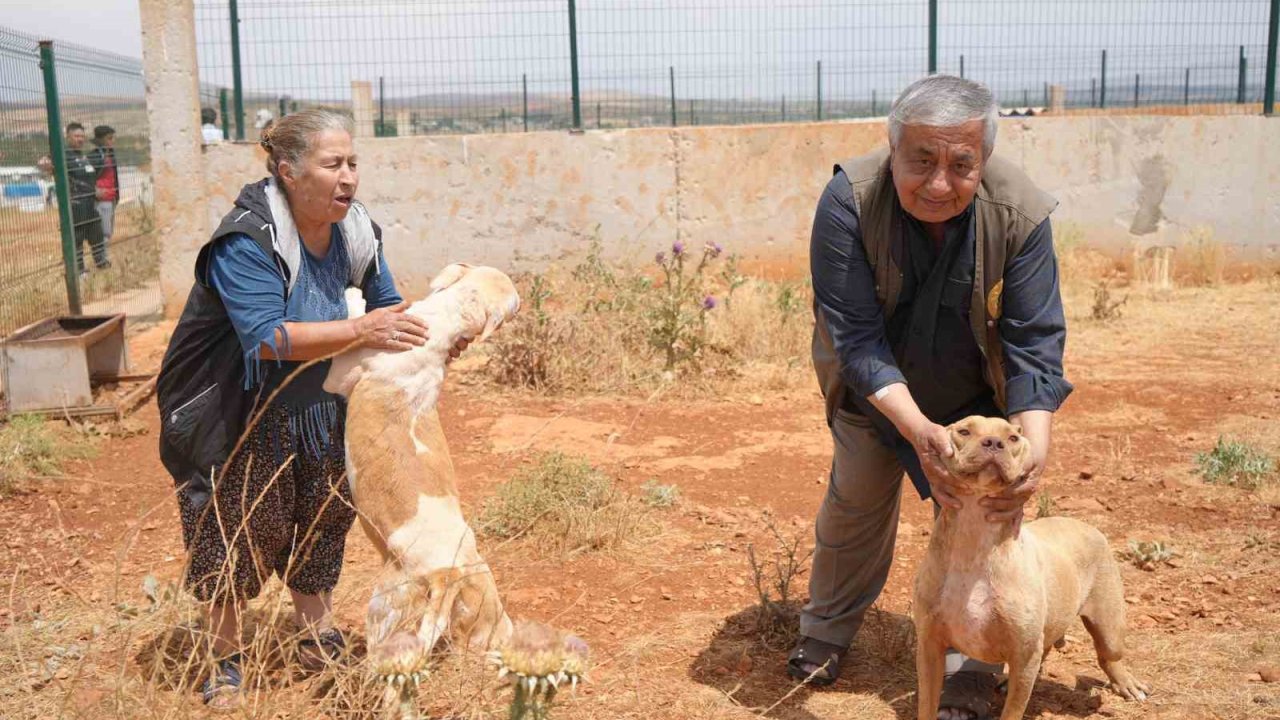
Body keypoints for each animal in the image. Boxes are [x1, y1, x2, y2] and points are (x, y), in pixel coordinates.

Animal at [911, 415, 1152, 717]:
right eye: (964, 431)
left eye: (1013, 437)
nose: (994, 442)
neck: (974, 537)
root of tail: (1084, 524)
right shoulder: (930, 647)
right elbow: (926, 706)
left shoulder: (1024, 653)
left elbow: (1012, 712)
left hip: (1110, 629)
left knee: (1108, 656)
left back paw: (1126, 683)